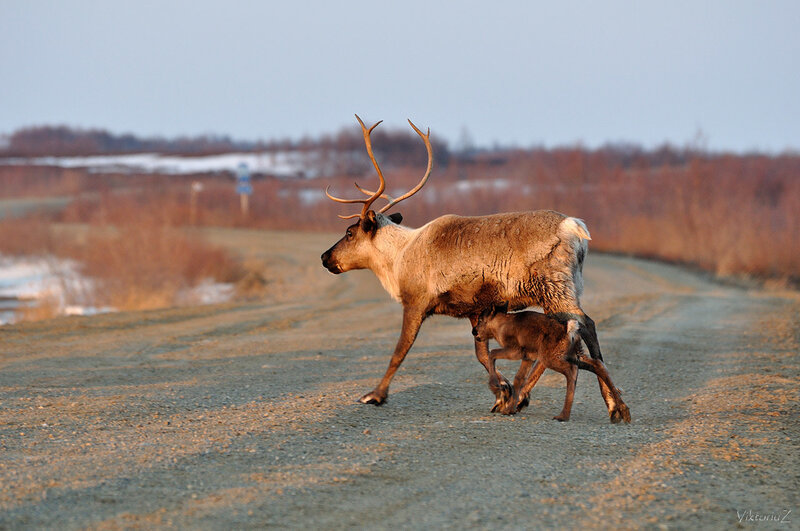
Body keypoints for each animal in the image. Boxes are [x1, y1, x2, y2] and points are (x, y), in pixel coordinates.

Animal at [468, 308, 632, 424]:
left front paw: (496, 387)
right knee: (597, 364)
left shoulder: (516, 350)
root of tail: (570, 330)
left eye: (481, 319)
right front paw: (510, 409)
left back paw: (563, 416)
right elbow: (519, 379)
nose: (474, 331)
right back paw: (624, 411)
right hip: (574, 354)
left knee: (572, 371)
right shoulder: (528, 357)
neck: (499, 326)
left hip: (551, 357)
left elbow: (492, 353)